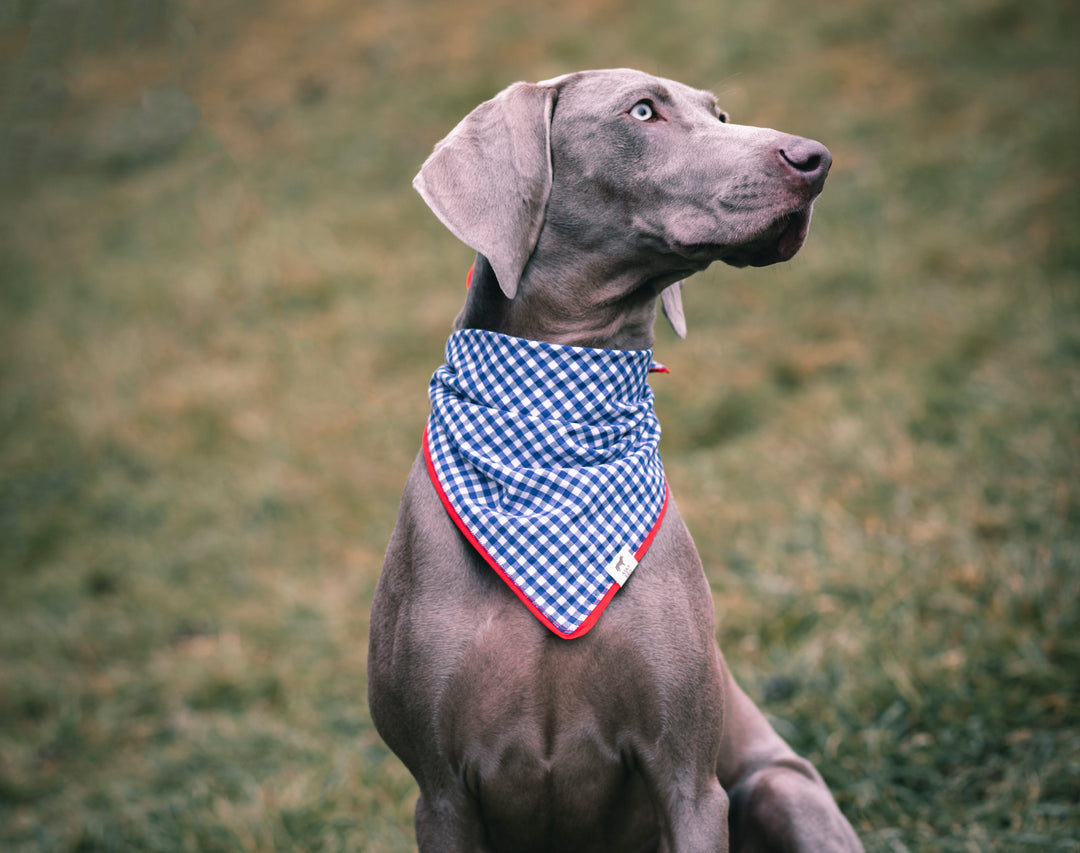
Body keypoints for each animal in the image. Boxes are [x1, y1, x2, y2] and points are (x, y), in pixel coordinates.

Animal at [367, 68, 864, 853]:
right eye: (642, 110)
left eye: (720, 114)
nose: (815, 158)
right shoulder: (441, 796)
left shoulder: (689, 777)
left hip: (780, 787)